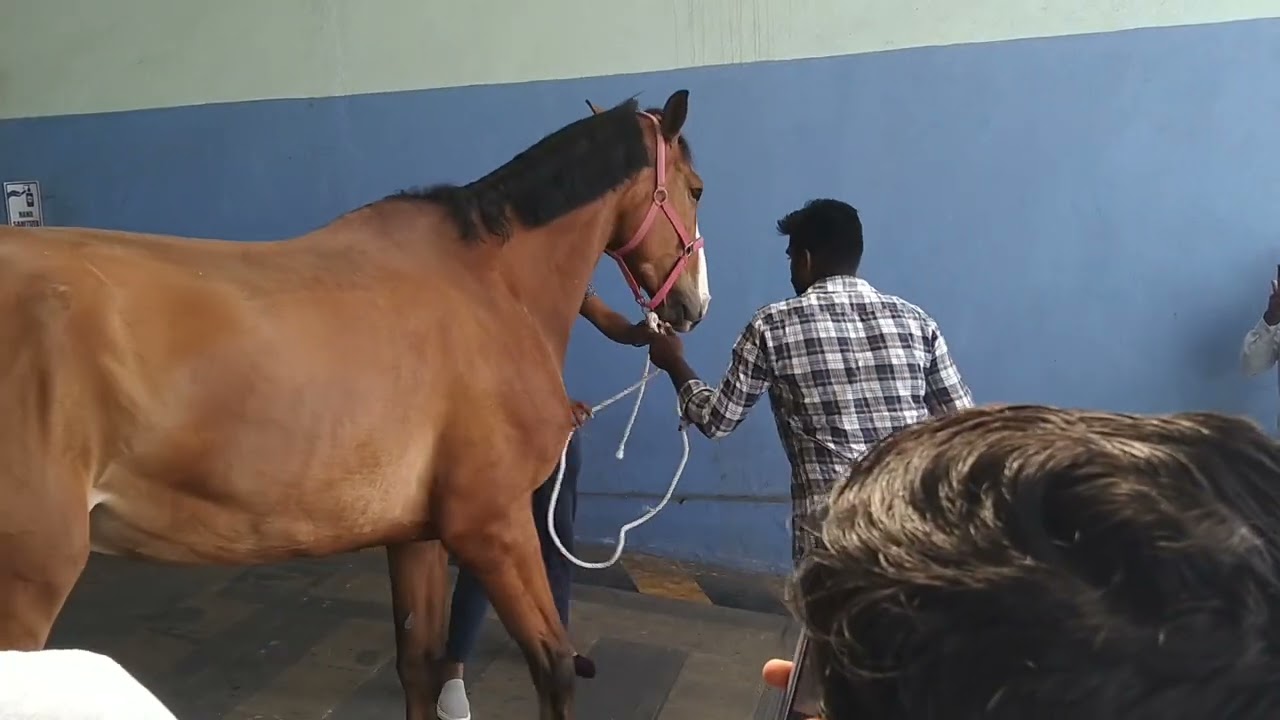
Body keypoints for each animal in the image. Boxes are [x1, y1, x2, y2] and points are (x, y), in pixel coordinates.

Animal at [0, 89, 708, 720]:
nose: (691, 307)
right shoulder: (493, 525)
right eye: (697, 189)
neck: (490, 286)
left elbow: (420, 667)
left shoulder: (418, 538)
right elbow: (553, 667)